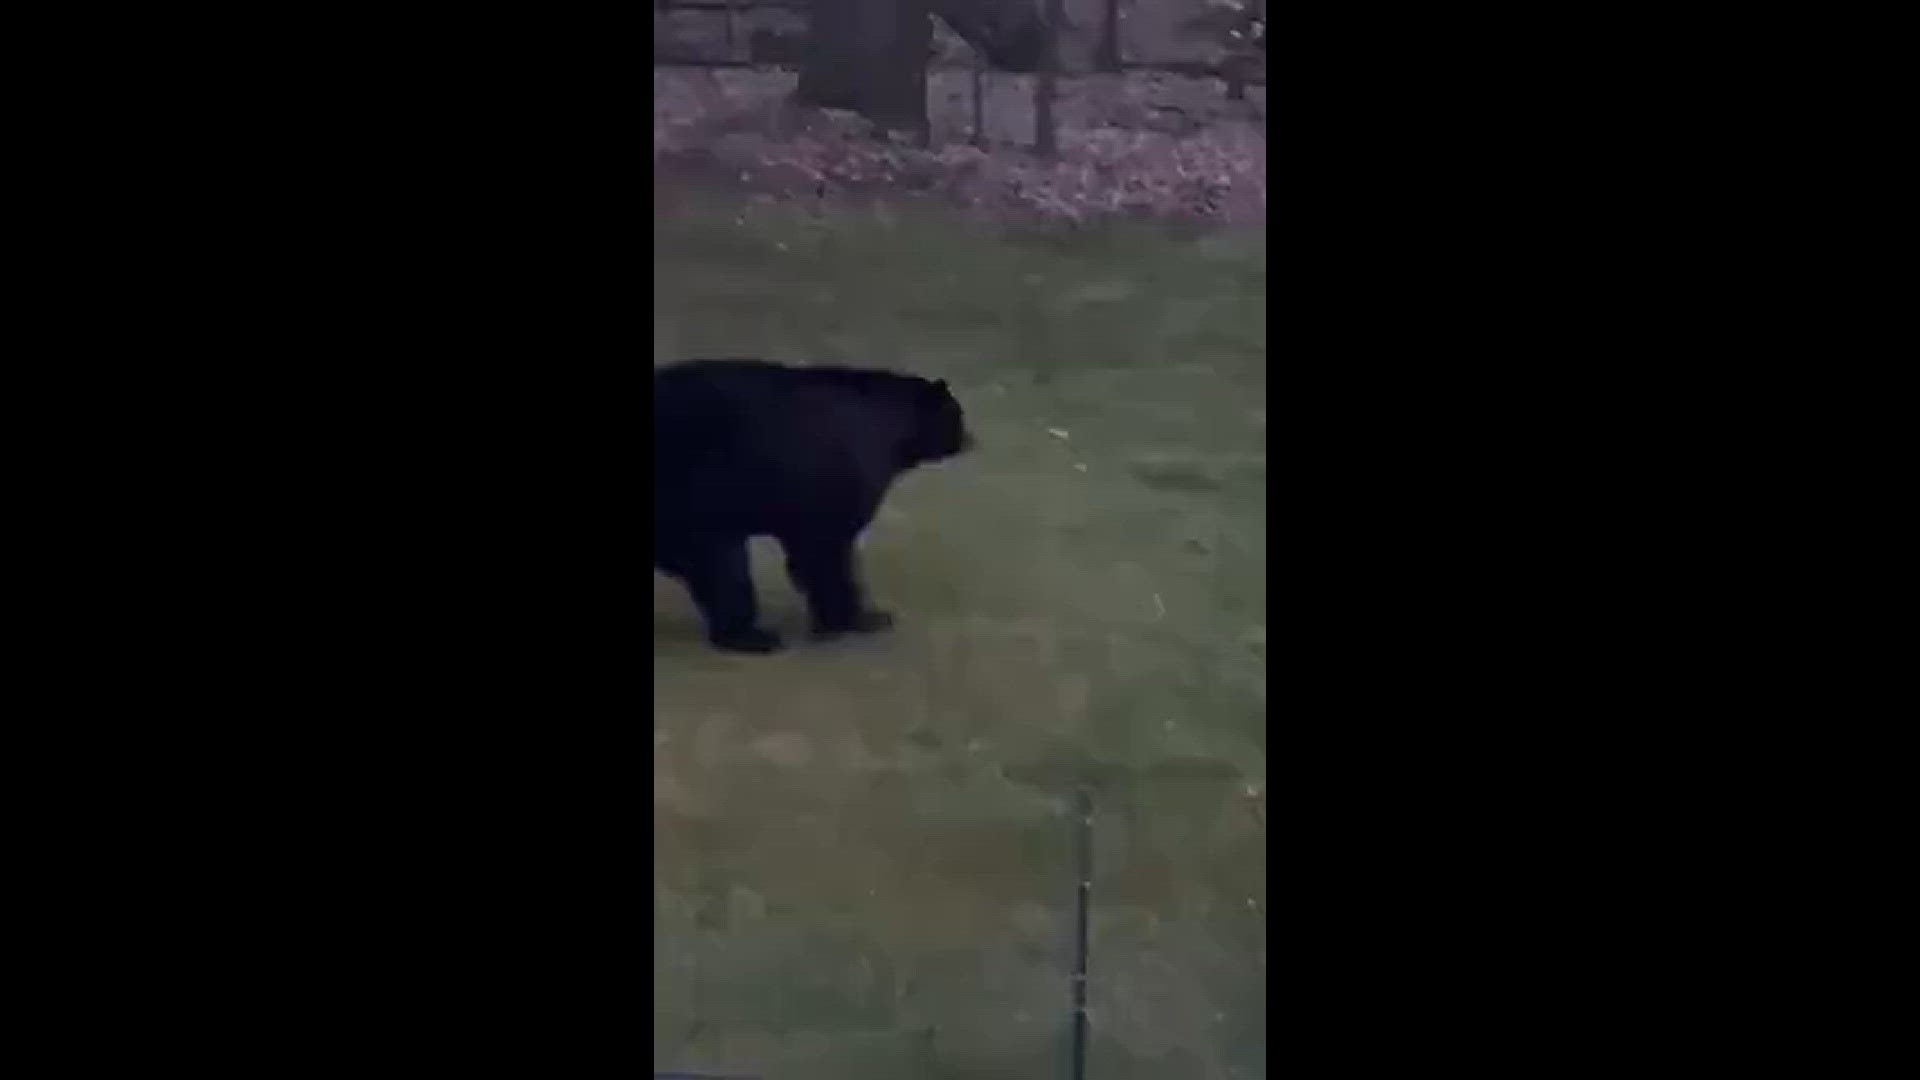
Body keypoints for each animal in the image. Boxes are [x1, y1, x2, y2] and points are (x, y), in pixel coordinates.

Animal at [654, 359, 973, 654]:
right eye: (957, 413)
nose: (970, 438)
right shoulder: (830, 502)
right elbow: (828, 561)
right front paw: (853, 619)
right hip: (695, 506)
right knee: (725, 572)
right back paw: (753, 636)